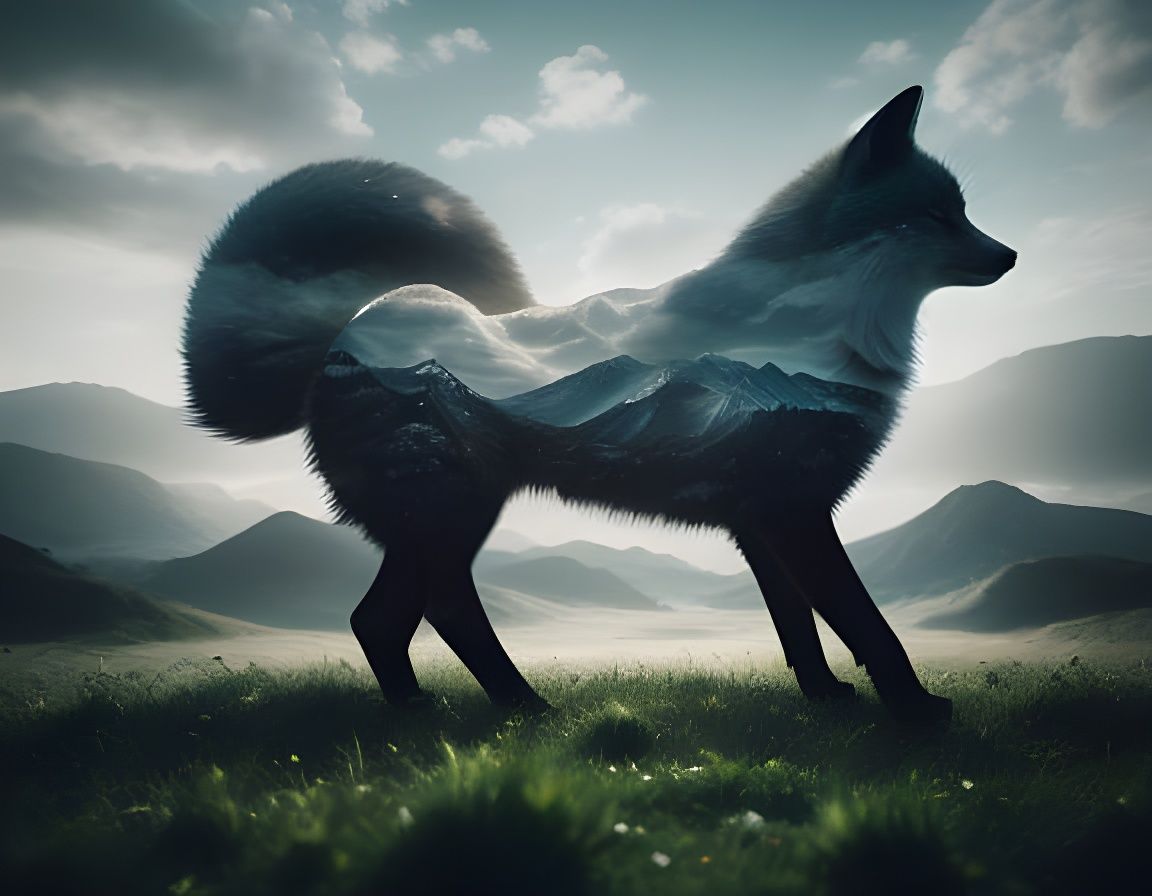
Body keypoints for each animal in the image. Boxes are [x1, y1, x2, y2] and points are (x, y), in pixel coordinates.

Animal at [183, 85, 1015, 725]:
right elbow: (867, 624)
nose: (1009, 255)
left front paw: (827, 698)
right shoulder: (796, 510)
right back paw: (509, 711)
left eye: (964, 210)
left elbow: (797, 624)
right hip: (454, 514)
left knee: (385, 619)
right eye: (940, 215)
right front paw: (913, 711)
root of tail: (342, 333)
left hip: (430, 524)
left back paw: (442, 711)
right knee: (428, 610)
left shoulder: (758, 520)